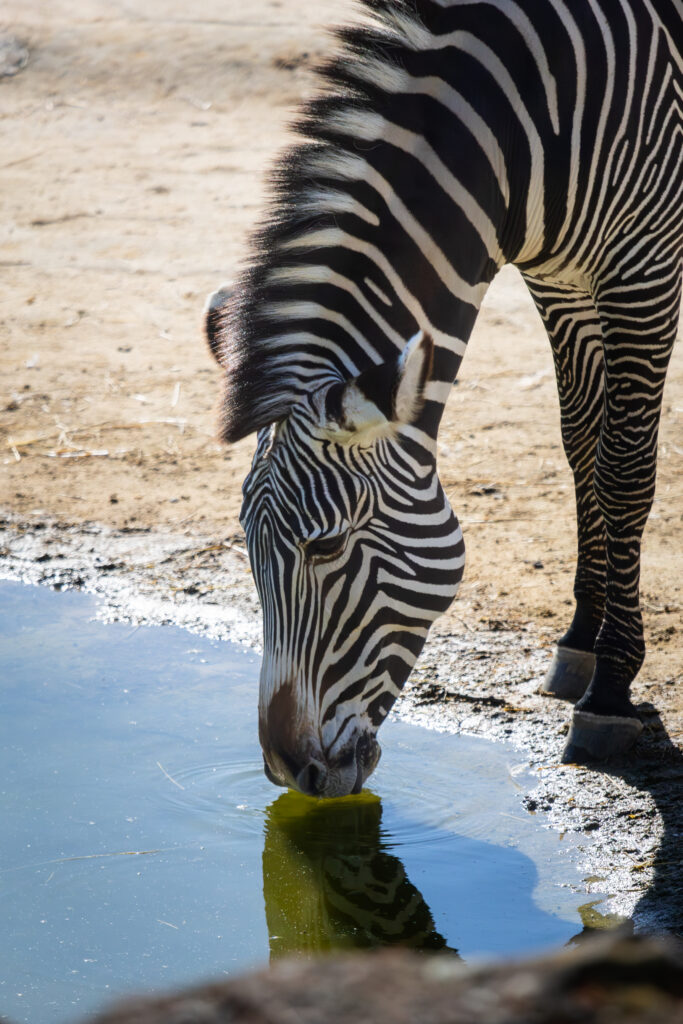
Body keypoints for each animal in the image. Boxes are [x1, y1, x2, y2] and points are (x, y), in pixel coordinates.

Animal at [206, 0, 682, 797]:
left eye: (325, 546)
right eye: (245, 542)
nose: (289, 771)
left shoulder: (643, 268)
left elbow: (621, 471)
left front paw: (610, 690)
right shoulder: (559, 277)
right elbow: (580, 444)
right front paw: (579, 644)